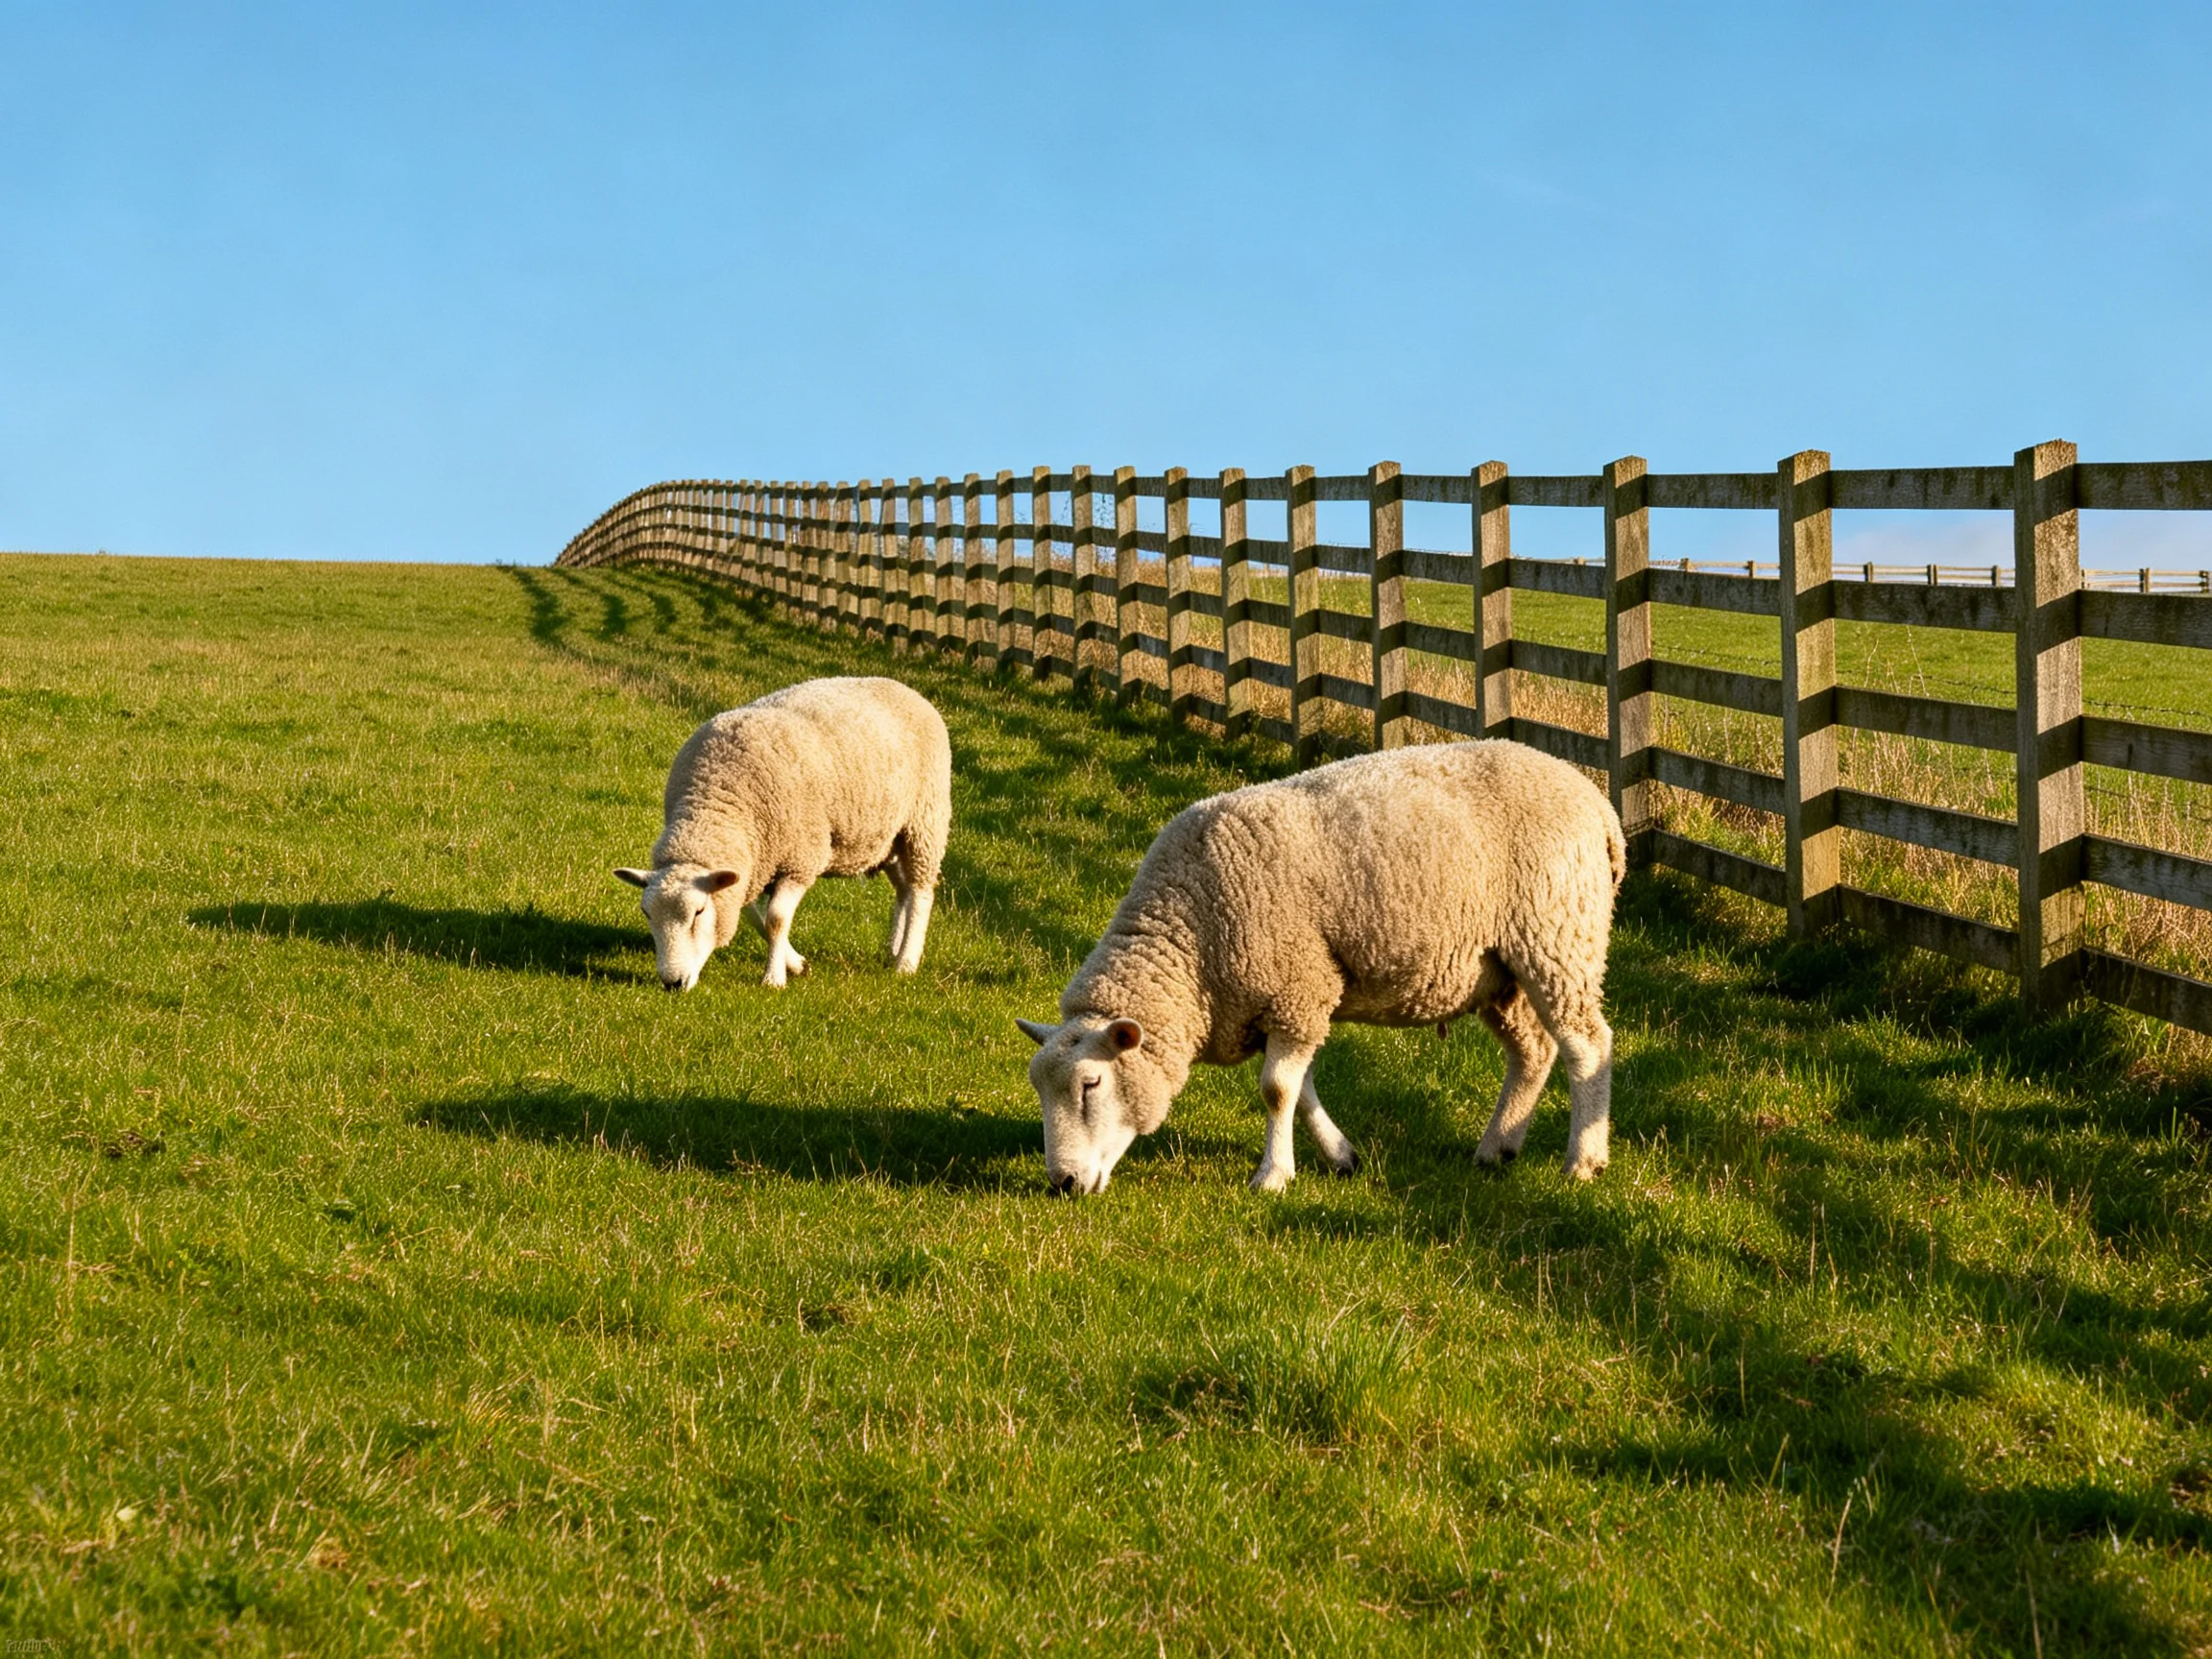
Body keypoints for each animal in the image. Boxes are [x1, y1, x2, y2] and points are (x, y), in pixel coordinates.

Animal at [615, 676, 951, 991]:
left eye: (698, 912)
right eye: (646, 913)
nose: (672, 982)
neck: (716, 803)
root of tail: (906, 689)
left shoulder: (798, 860)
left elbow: (775, 920)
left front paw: (774, 979)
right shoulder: (750, 865)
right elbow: (755, 917)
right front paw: (796, 964)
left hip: (924, 822)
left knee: (921, 893)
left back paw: (906, 961)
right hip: (890, 840)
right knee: (903, 889)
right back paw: (893, 947)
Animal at [1016, 739, 1626, 1195]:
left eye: (1091, 1084)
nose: (1062, 1183)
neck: (1190, 936)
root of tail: (1597, 804)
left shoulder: (1297, 988)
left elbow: (1276, 1090)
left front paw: (1272, 1176)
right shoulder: (1288, 1004)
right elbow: (1300, 1088)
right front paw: (1340, 1156)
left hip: (1558, 937)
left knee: (1586, 1046)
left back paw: (1584, 1160)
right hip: (1501, 974)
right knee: (1533, 1053)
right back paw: (1498, 1147)